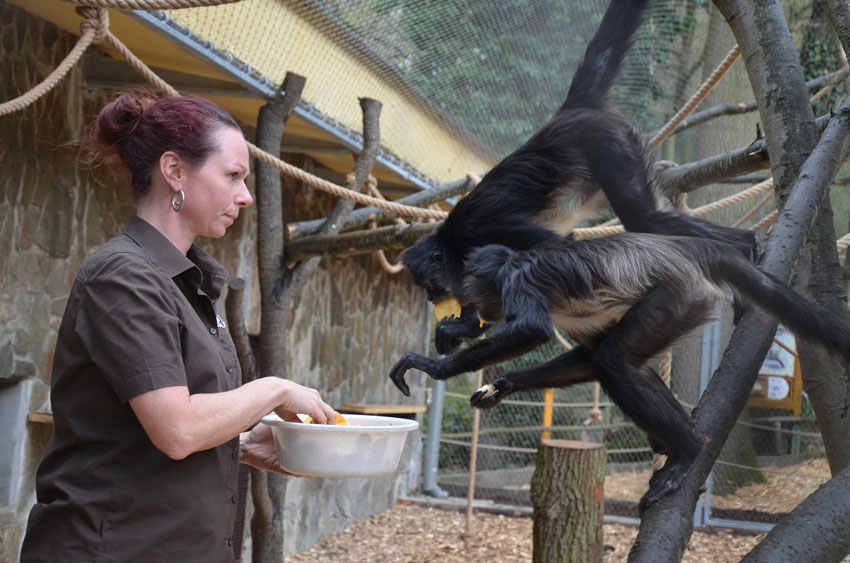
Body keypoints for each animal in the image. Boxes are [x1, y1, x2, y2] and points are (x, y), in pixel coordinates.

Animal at [390, 234, 848, 512]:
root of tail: (684, 252)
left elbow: (537, 330)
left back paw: (687, 449)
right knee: (620, 363)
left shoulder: (515, 279)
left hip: (679, 298)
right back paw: (678, 437)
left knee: (614, 362)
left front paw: (433, 366)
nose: (434, 297)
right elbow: (586, 359)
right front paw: (502, 385)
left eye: (432, 286)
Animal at [400, 0, 760, 354]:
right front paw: (463, 326)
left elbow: (555, 247)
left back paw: (744, 248)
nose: (431, 296)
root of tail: (569, 113)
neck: (451, 242)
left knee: (644, 217)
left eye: (429, 284)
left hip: (608, 143)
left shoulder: (479, 229)